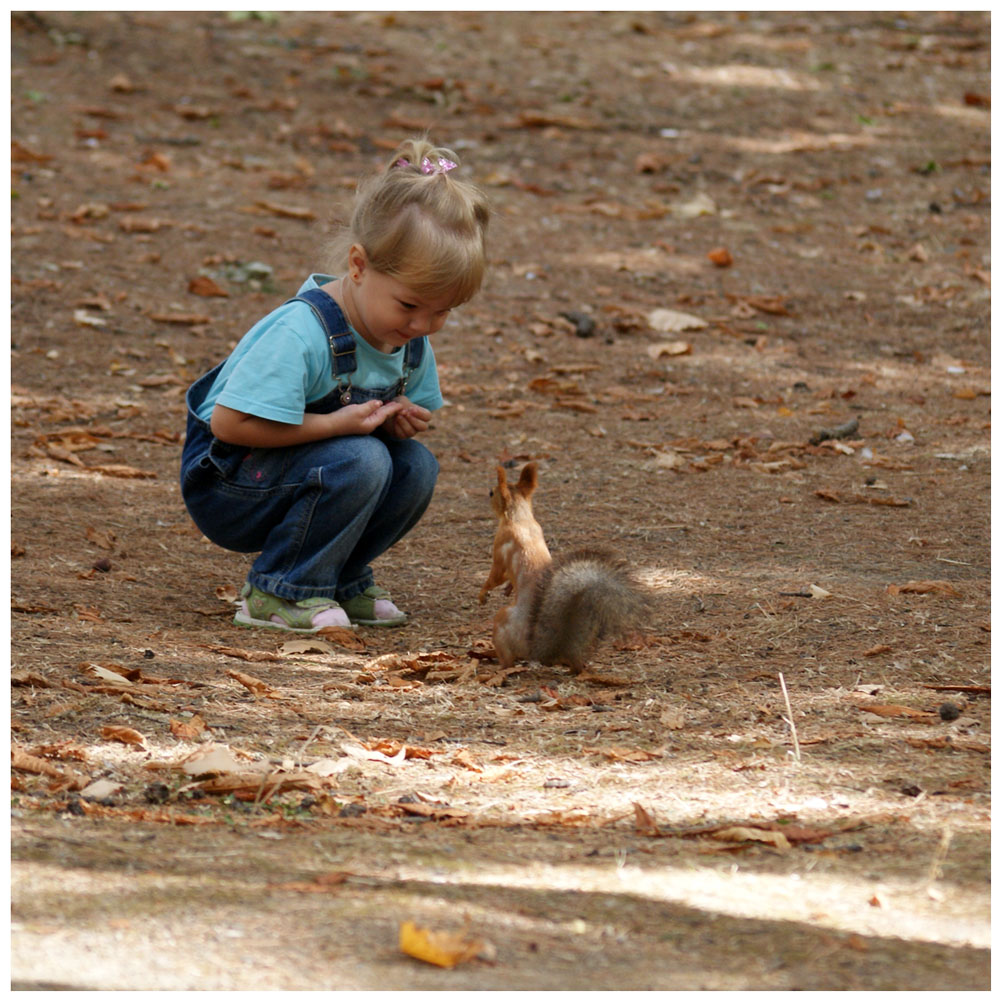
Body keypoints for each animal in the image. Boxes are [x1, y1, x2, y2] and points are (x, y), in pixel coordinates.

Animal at [479, 462, 648, 674]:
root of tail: (542, 648)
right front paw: (508, 589)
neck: (520, 518)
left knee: (507, 660)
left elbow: (495, 576)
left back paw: (497, 664)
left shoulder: (500, 546)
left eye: (491, 493)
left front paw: (483, 594)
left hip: (501, 624)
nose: (487, 494)